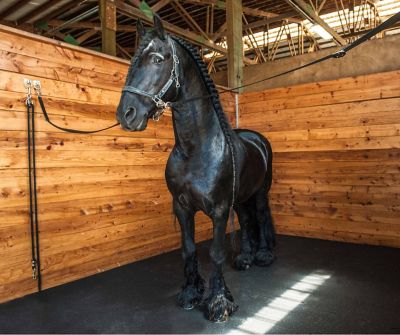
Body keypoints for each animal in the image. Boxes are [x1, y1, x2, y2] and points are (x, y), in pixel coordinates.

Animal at [115, 15, 276, 322]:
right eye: (132, 61)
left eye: (157, 59)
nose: (126, 114)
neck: (196, 150)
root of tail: (257, 139)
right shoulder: (182, 207)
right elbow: (188, 249)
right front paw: (191, 293)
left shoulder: (220, 210)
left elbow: (215, 252)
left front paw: (219, 302)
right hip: (241, 198)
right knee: (247, 220)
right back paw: (245, 258)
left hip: (260, 192)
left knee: (261, 217)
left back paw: (263, 256)